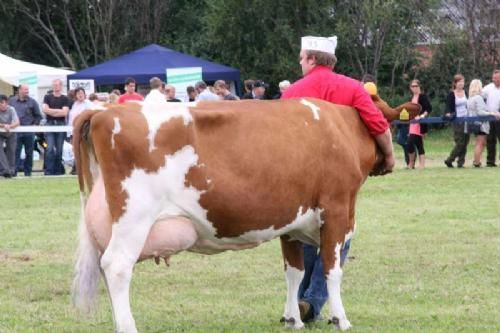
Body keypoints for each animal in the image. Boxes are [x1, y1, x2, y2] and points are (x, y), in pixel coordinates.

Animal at [72, 94, 420, 330]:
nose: (389, 162)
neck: (342, 128)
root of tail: (104, 112)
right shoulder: (336, 209)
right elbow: (331, 270)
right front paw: (341, 319)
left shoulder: (292, 221)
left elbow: (294, 272)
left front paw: (293, 319)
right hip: (134, 217)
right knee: (117, 267)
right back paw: (127, 327)